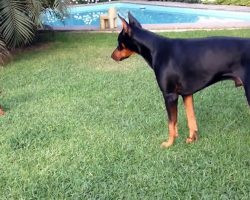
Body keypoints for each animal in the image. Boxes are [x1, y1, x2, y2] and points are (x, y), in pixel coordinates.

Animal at [111, 12, 250, 147]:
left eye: (119, 42)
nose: (112, 56)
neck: (155, 49)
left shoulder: (170, 95)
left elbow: (171, 122)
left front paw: (169, 143)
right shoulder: (187, 94)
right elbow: (191, 118)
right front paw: (191, 139)